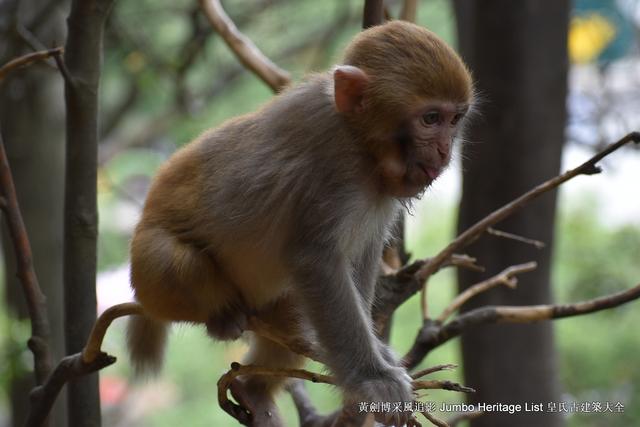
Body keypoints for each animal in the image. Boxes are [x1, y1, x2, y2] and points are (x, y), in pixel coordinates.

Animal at [126, 20, 476, 427]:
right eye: (430, 119)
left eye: (454, 120)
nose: (444, 151)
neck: (360, 143)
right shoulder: (332, 170)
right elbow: (317, 261)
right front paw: (371, 378)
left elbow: (360, 259)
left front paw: (377, 360)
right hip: (150, 279)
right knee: (174, 262)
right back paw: (222, 318)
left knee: (293, 315)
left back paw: (253, 389)